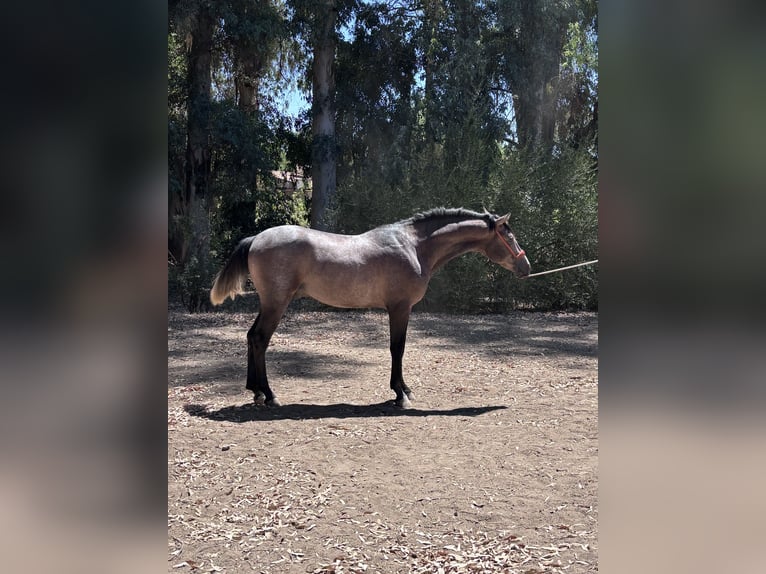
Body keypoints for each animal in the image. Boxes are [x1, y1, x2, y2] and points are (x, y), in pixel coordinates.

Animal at [210, 207, 531, 408]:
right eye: (510, 236)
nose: (526, 267)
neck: (414, 247)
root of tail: (256, 238)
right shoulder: (400, 308)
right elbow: (397, 348)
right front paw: (400, 393)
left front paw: (404, 389)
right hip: (276, 303)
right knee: (260, 339)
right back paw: (269, 394)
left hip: (269, 304)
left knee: (251, 337)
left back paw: (255, 392)